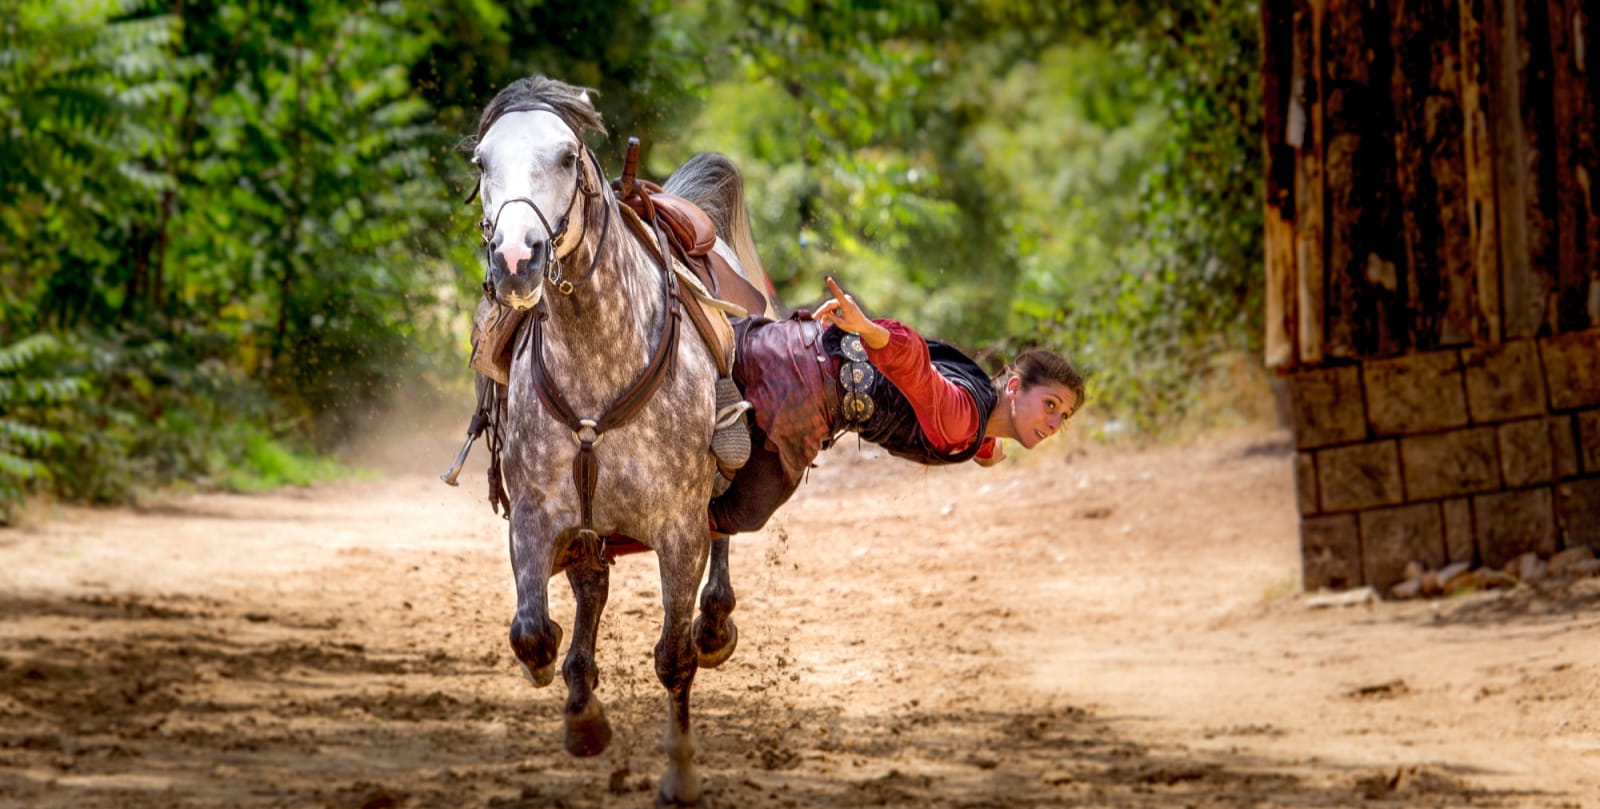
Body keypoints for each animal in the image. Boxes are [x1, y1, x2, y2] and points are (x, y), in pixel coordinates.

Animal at [467, 74, 774, 802]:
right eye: (481, 163)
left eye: (565, 158)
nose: (516, 258)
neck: (597, 355)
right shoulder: (537, 515)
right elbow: (532, 632)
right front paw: (577, 706)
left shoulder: (678, 529)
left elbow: (674, 657)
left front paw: (680, 771)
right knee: (590, 587)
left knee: (717, 548)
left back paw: (716, 622)